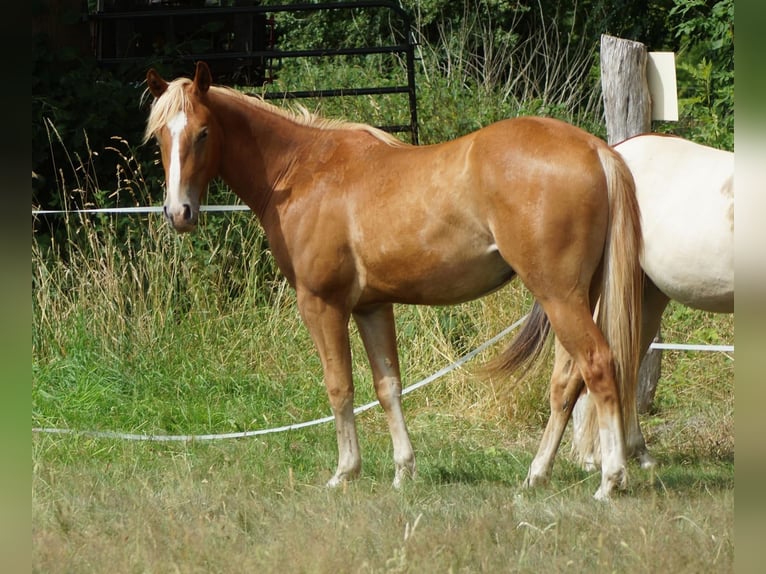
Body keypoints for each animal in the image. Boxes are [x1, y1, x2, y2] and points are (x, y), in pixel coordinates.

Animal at [143, 61, 643, 500]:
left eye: (203, 133)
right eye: (161, 137)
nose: (178, 213)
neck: (303, 170)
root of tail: (596, 150)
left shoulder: (322, 304)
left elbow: (339, 386)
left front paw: (345, 472)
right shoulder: (371, 306)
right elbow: (388, 387)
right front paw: (404, 471)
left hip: (559, 296)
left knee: (599, 365)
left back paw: (610, 479)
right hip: (579, 296)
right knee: (567, 382)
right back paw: (537, 475)